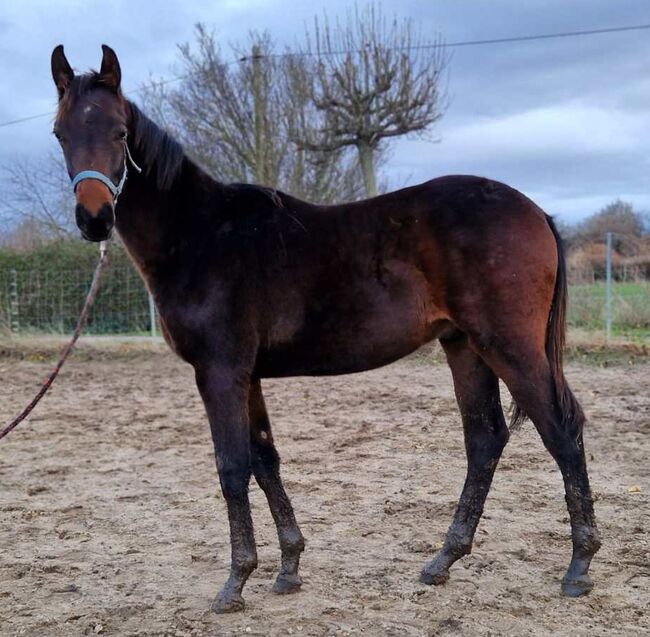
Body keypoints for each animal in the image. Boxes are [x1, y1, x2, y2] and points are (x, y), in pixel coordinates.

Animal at [49, 44, 596, 612]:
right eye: (60, 133)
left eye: (119, 132)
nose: (94, 218)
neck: (201, 234)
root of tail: (534, 211)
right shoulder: (247, 375)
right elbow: (264, 459)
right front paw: (288, 567)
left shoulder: (219, 371)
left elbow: (231, 467)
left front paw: (235, 582)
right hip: (464, 346)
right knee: (485, 439)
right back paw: (444, 560)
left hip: (508, 346)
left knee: (561, 431)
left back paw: (578, 567)